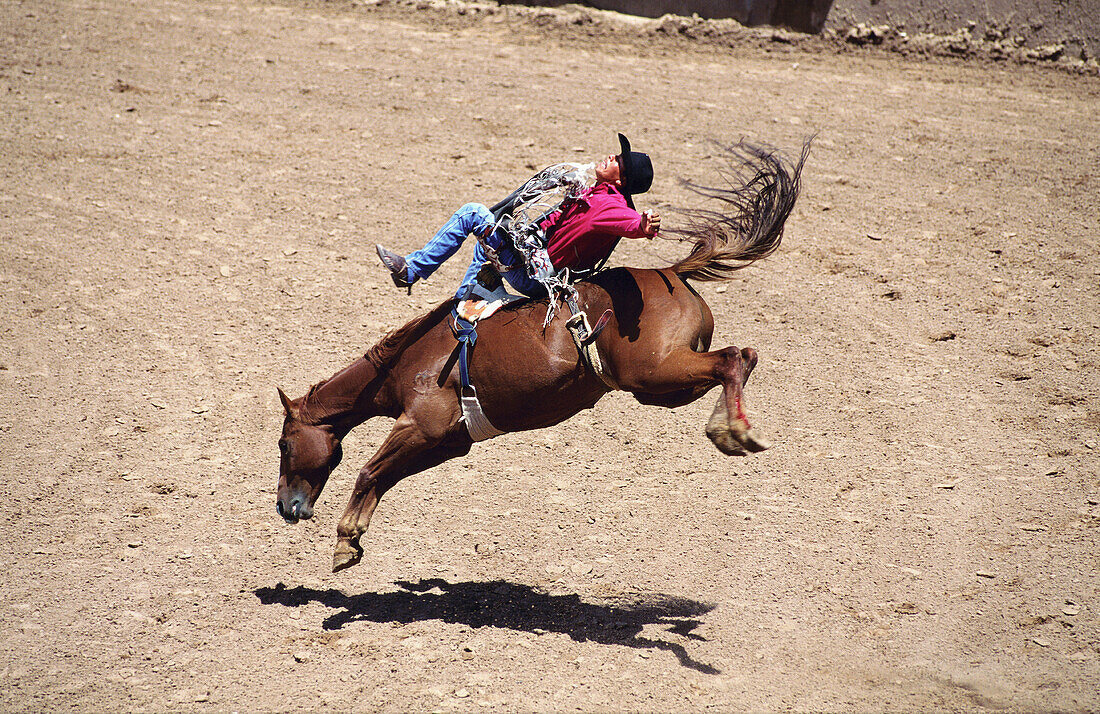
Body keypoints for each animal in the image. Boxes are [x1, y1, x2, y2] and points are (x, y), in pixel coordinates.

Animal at [275, 141, 809, 572]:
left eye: (283, 443)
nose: (286, 506)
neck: (406, 362)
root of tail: (673, 273)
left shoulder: (420, 425)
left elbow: (369, 470)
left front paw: (344, 538)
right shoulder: (447, 441)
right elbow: (385, 478)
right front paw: (353, 540)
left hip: (656, 371)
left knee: (734, 358)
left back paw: (735, 431)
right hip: (663, 386)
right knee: (738, 357)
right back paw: (730, 425)